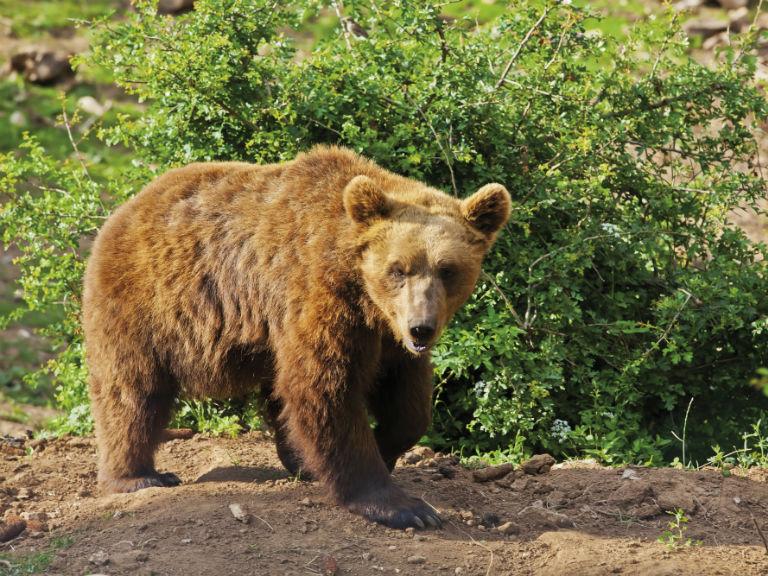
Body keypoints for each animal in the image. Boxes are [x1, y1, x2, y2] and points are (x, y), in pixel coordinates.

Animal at [82, 143, 510, 528]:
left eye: (447, 269)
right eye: (398, 269)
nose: (421, 327)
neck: (362, 292)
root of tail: (125, 207)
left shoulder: (388, 337)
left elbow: (409, 403)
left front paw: (386, 448)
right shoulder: (318, 295)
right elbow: (323, 387)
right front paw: (403, 507)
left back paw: (296, 459)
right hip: (146, 304)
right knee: (132, 391)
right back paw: (138, 476)